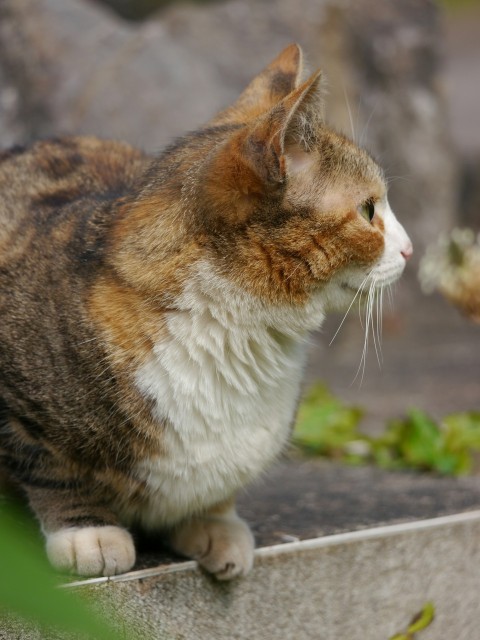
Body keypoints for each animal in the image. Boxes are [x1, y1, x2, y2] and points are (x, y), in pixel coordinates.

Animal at [0, 42, 412, 576]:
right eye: (368, 210)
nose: (410, 249)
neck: (236, 331)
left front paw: (214, 522)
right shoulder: (21, 406)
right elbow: (52, 468)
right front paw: (88, 532)